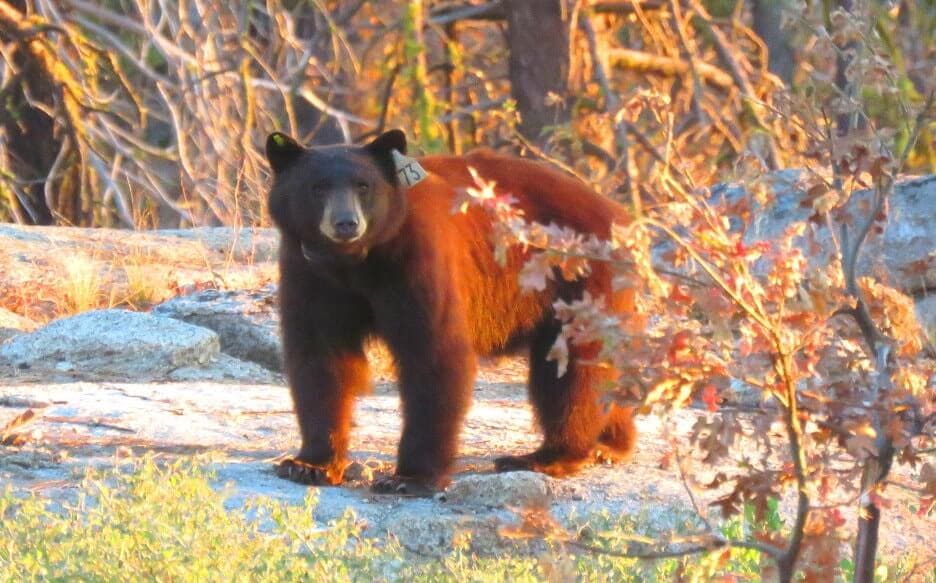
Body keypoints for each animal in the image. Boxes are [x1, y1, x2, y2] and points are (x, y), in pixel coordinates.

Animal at [266, 129, 637, 495]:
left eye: (363, 186)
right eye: (317, 187)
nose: (346, 223)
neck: (353, 263)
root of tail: (619, 215)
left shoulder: (416, 258)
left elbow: (433, 352)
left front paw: (410, 477)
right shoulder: (309, 271)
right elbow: (319, 356)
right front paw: (310, 463)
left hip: (579, 278)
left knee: (574, 371)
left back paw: (549, 456)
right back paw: (609, 444)